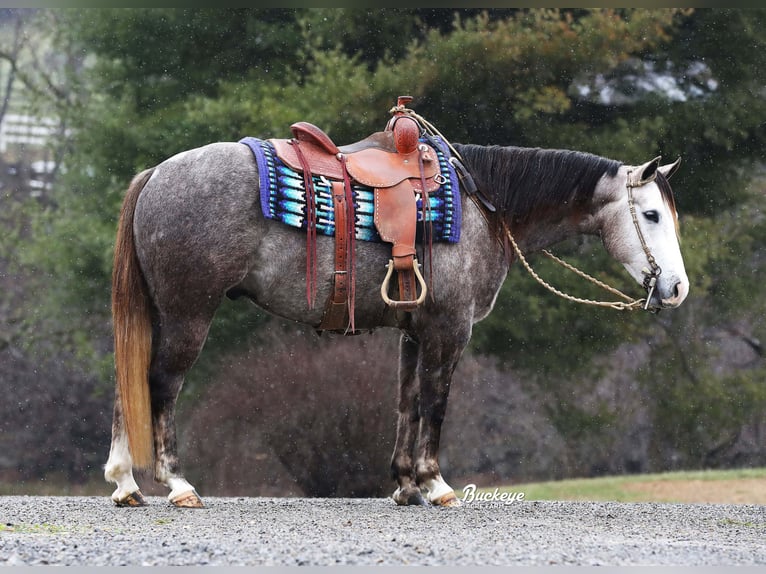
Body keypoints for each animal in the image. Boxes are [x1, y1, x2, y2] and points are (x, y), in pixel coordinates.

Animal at [103, 138, 688, 508]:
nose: (678, 288)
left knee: (129, 383)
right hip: (188, 314)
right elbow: (435, 403)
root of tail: (156, 174)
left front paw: (406, 485)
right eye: (651, 214)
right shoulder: (449, 331)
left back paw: (124, 483)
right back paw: (176, 484)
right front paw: (435, 484)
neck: (484, 206)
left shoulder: (414, 333)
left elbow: (407, 402)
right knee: (161, 384)